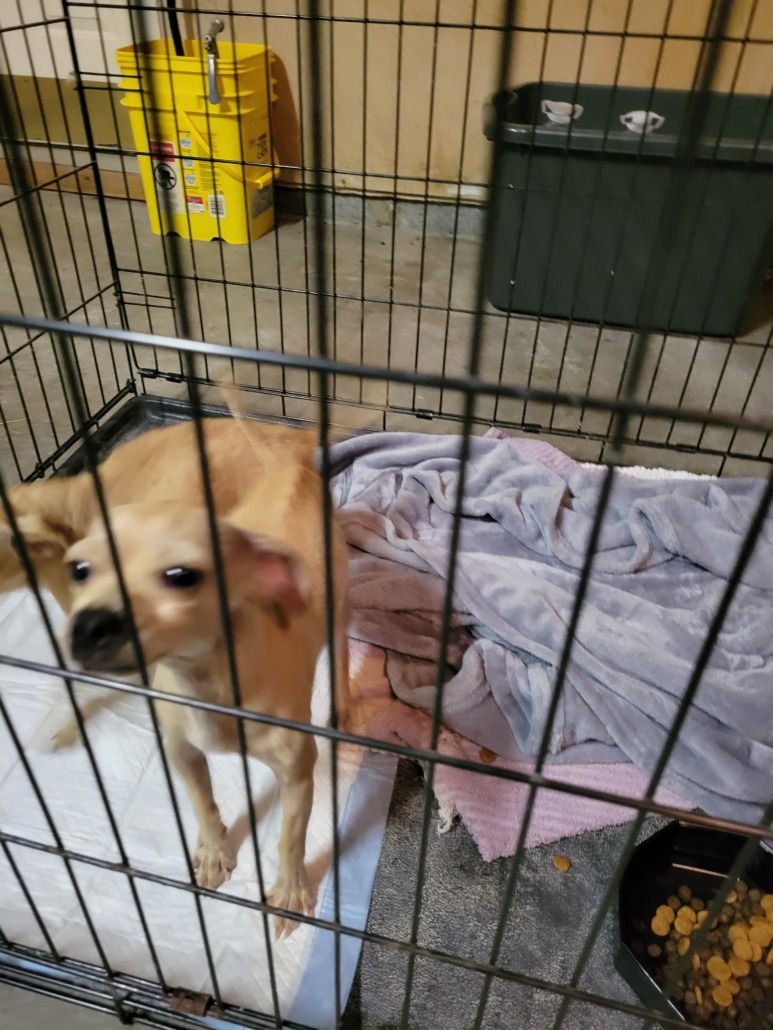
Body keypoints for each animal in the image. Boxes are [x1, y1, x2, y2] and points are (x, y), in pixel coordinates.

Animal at [62, 447, 351, 939]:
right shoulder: (181, 749)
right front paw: (215, 851)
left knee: (346, 645)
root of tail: (295, 469)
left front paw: (290, 891)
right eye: (78, 569)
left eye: (182, 576)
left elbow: (291, 836)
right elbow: (201, 801)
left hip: (342, 601)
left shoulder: (297, 772)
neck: (208, 684)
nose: (88, 626)